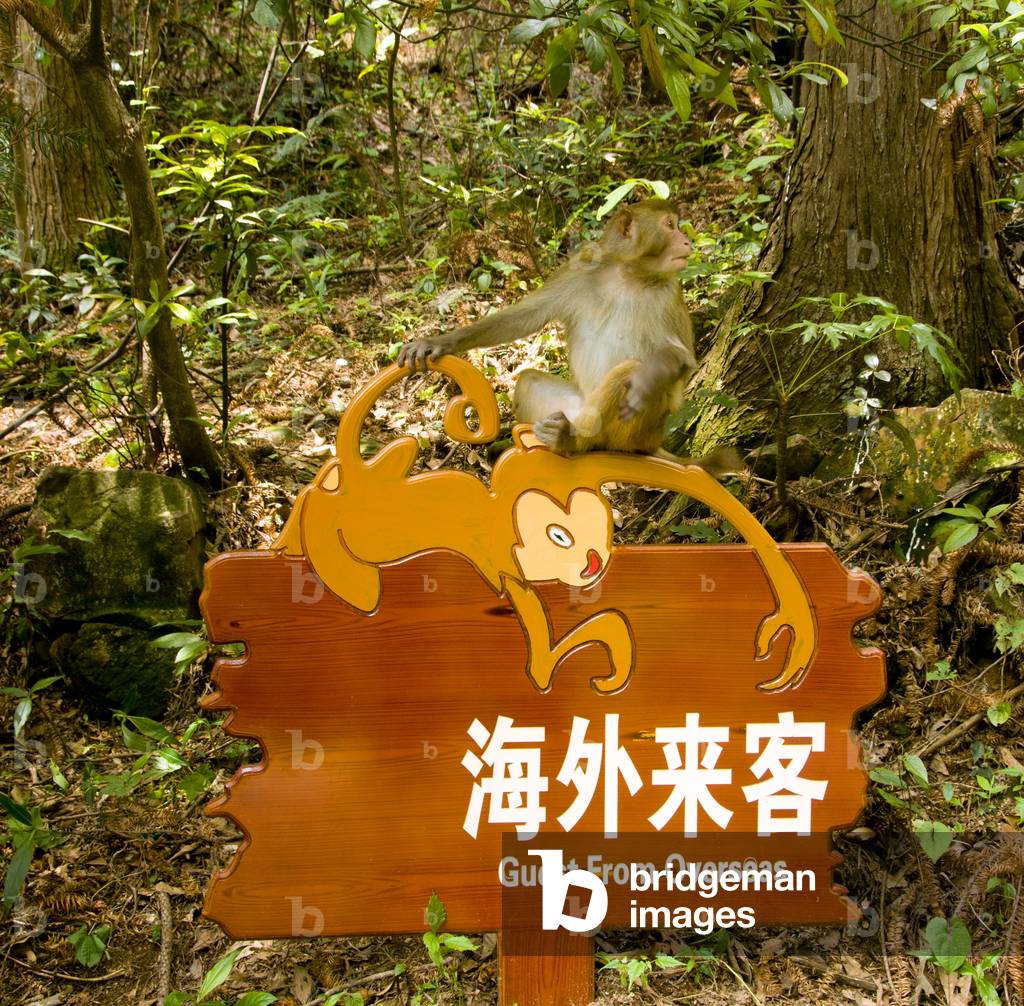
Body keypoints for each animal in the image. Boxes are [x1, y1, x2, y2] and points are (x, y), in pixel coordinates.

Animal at [274, 357, 816, 692]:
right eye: (559, 535)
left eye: (596, 527)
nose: (594, 560)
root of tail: (357, 474)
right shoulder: (506, 568)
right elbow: (543, 661)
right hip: (350, 515)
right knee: (327, 510)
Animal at [397, 198, 737, 471]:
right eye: (670, 226)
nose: (687, 241)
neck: (627, 274)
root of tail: (653, 442)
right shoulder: (579, 270)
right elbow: (525, 317)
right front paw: (439, 342)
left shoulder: (668, 295)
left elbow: (682, 359)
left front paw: (648, 377)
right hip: (576, 407)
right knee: (530, 381)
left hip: (634, 432)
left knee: (628, 375)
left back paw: (573, 441)